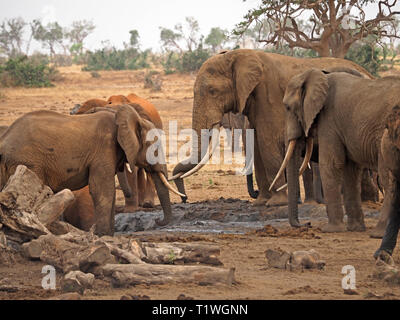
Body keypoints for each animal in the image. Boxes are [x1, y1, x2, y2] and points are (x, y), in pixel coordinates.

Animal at [0, 105, 180, 235]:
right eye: (155, 148)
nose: (158, 221)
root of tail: (4, 141)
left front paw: (108, 236)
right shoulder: (104, 149)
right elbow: (102, 189)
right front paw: (103, 236)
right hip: (27, 162)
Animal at [170, 48, 372, 210]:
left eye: (212, 91)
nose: (184, 199)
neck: (238, 55)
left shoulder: (270, 95)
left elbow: (267, 142)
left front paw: (276, 203)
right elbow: (257, 145)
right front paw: (261, 203)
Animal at [274, 69, 400, 232]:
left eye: (288, 107)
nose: (306, 224)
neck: (320, 76)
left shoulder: (329, 120)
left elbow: (331, 164)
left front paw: (331, 230)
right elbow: (350, 169)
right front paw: (355, 229)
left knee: (387, 178)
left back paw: (379, 232)